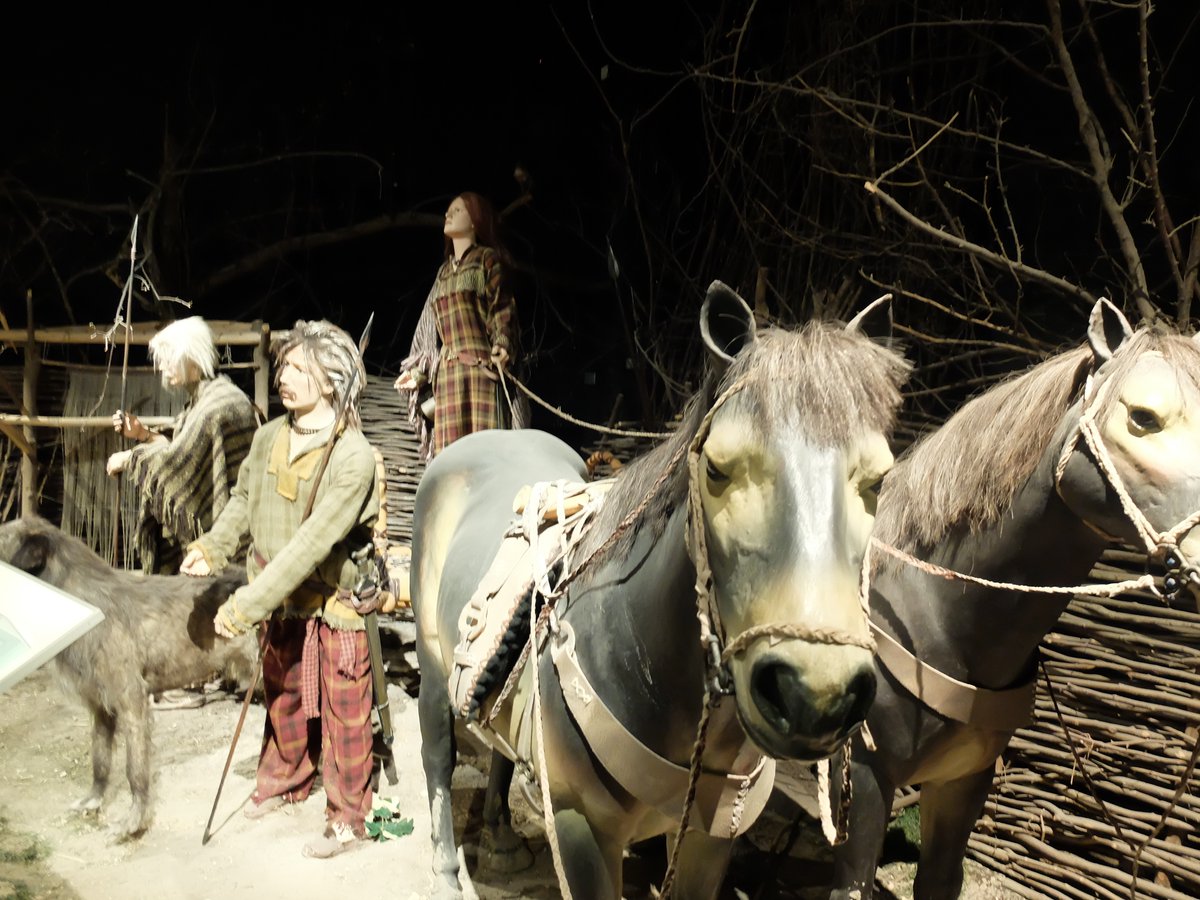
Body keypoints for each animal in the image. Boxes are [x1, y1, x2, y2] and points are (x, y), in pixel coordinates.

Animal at [1, 518, 255, 844]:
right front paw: (93, 799)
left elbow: (135, 768)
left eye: (0, 538)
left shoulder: (132, 700)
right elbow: (99, 757)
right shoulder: (99, 705)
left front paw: (134, 822)